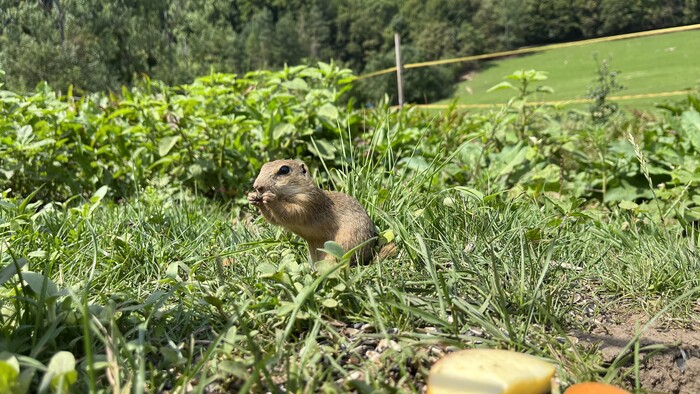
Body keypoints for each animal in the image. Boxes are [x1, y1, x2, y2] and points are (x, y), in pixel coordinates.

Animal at [246, 160, 378, 264]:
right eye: (263, 167)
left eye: (284, 169)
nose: (257, 186)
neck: (286, 196)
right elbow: (275, 219)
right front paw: (252, 197)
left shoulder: (308, 202)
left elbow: (292, 213)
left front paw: (271, 199)